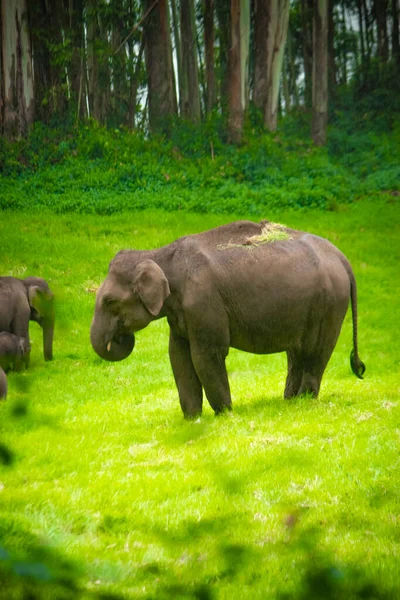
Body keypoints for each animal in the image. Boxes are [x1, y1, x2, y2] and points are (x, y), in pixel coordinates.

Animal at [90, 218, 366, 420]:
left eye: (109, 301)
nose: (119, 336)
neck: (164, 255)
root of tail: (342, 257)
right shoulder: (180, 313)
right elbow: (178, 357)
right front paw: (192, 420)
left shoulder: (203, 302)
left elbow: (206, 356)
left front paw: (225, 415)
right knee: (297, 352)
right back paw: (290, 400)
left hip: (330, 304)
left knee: (316, 350)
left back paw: (305, 400)